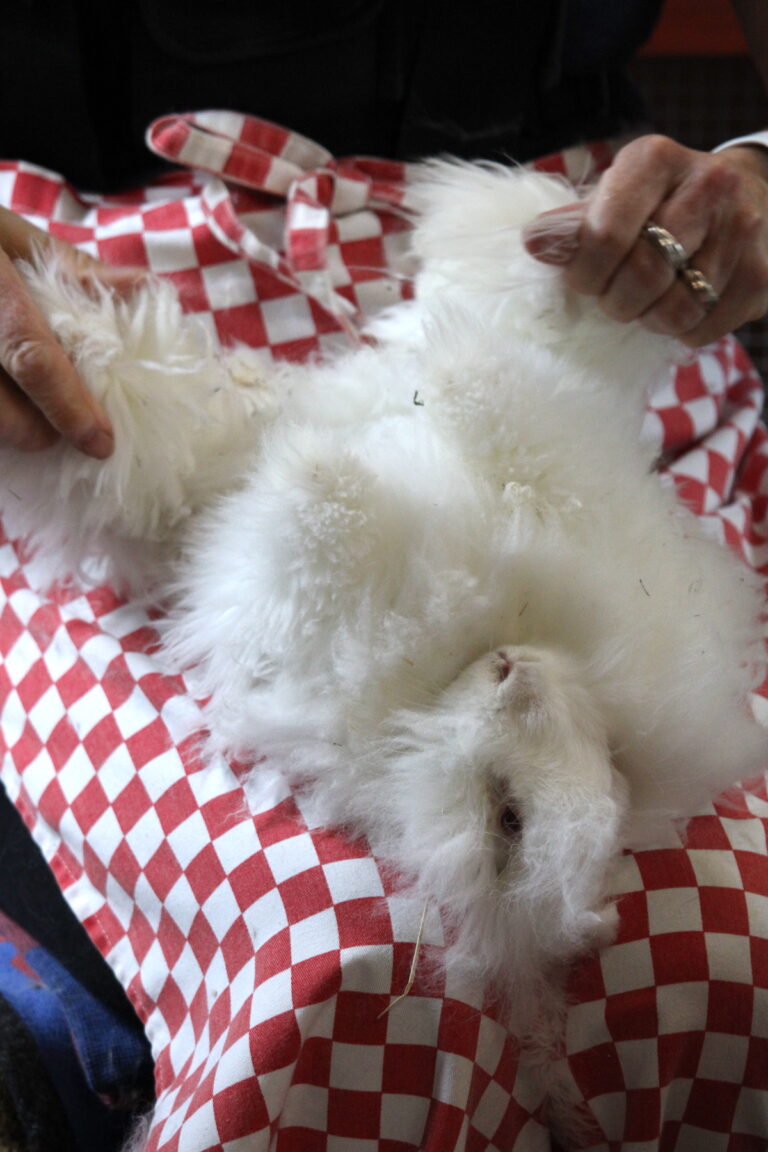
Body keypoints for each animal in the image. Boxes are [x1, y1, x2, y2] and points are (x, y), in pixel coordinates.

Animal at [1, 161, 765, 1043]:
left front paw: (317, 473)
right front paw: (432, 402)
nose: (513, 672)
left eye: (508, 824)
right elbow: (505, 444)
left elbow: (325, 528)